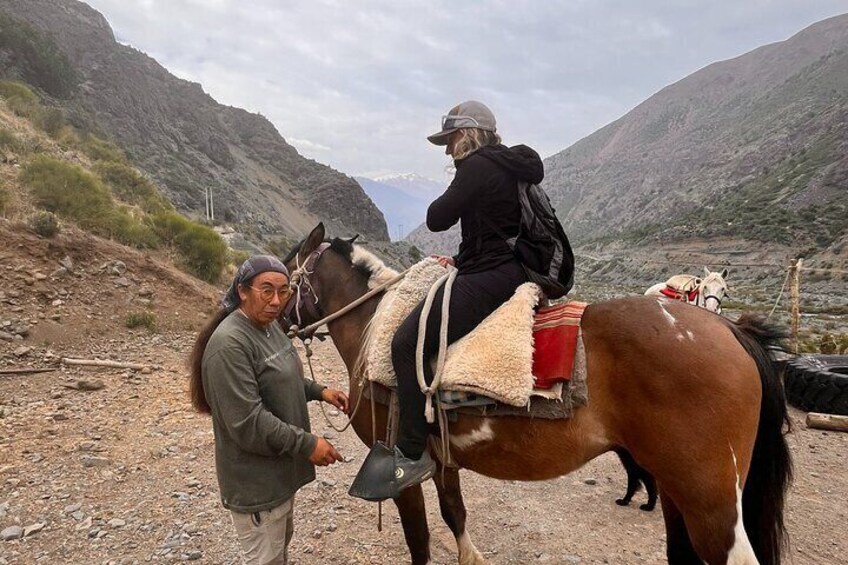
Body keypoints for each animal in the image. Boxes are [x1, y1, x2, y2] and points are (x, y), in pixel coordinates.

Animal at [284, 225, 788, 564]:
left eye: (286, 273)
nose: (271, 317)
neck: (373, 325)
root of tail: (731, 330)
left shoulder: (401, 473)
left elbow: (420, 541)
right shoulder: (442, 460)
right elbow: (455, 515)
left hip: (711, 504)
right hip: (675, 490)